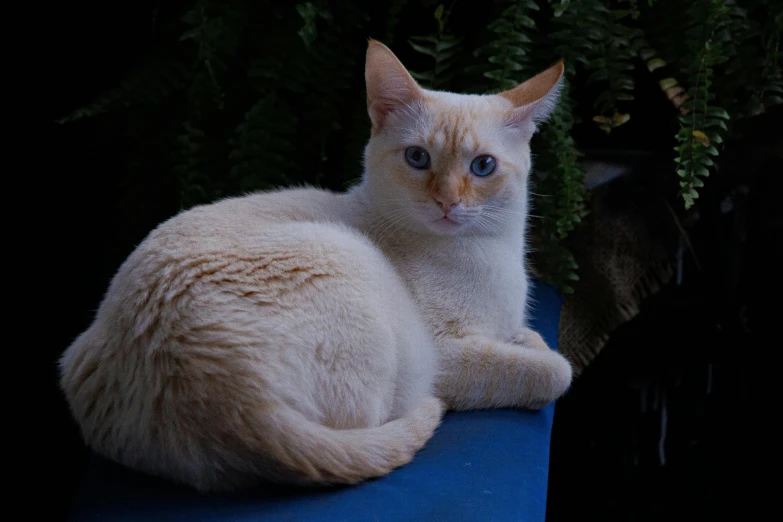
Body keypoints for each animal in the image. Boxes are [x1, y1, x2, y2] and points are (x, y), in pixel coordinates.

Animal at [58, 39, 572, 492]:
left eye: (483, 167)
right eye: (417, 158)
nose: (446, 202)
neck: (487, 254)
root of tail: (232, 399)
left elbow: (529, 338)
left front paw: (524, 338)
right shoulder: (447, 353)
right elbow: (553, 369)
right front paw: (533, 357)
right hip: (367, 289)